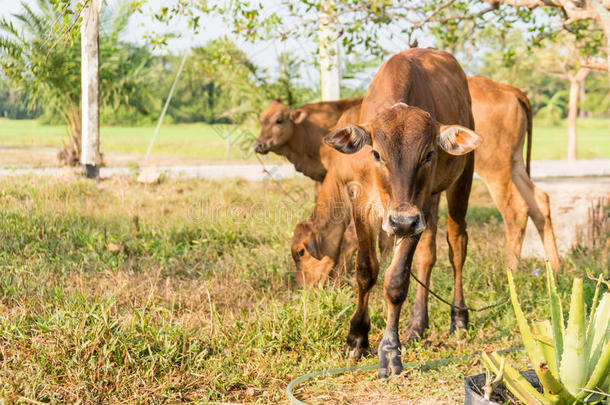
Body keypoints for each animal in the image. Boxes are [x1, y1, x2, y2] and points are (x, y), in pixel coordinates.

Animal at [320, 49, 482, 378]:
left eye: (429, 154)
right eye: (376, 153)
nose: (402, 220)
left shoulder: (414, 214)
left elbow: (395, 280)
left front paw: (390, 350)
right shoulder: (363, 204)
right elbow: (366, 270)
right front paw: (357, 337)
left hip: (459, 182)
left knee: (457, 246)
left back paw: (459, 319)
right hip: (428, 203)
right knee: (428, 255)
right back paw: (417, 324)